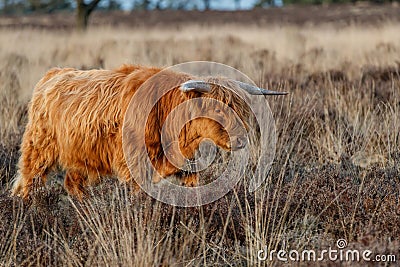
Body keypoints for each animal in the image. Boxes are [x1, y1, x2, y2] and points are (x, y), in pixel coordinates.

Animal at [10, 63, 286, 200]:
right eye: (216, 109)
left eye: (241, 109)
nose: (241, 139)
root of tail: (54, 73)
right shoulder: (135, 164)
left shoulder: (187, 163)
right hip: (39, 147)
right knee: (28, 179)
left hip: (81, 155)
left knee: (72, 183)